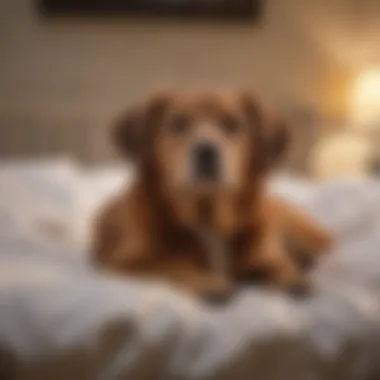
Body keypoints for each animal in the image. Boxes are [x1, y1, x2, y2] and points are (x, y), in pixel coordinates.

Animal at [93, 90, 332, 300]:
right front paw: (208, 281)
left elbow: (278, 263)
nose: (206, 150)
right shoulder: (126, 263)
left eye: (232, 123)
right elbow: (172, 264)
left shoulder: (265, 251)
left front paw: (291, 278)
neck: (207, 215)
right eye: (178, 123)